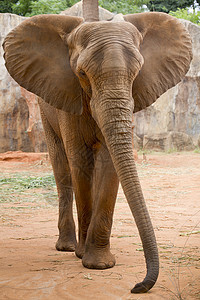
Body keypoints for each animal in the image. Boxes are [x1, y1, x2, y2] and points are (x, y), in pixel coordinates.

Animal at [2, 11, 191, 292]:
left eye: (137, 73)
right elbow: (80, 161)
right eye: (81, 73)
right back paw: (67, 246)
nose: (138, 286)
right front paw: (84, 256)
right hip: (45, 109)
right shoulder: (69, 93)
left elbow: (109, 162)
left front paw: (100, 264)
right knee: (63, 171)